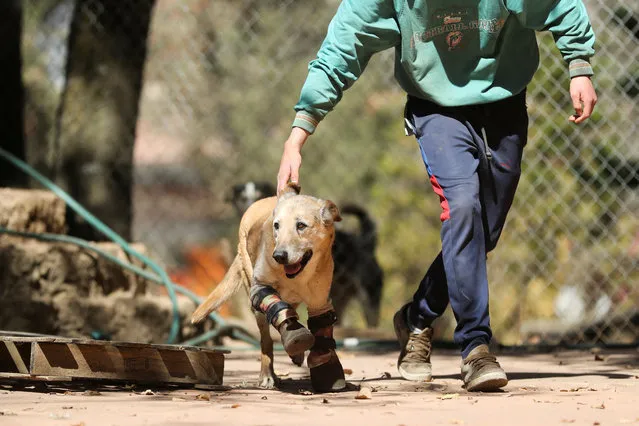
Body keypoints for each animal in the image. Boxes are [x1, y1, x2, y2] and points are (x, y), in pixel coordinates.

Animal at [192, 184, 348, 392]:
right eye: (277, 226)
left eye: (301, 225)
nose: (279, 256)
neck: (298, 277)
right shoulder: (260, 287)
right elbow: (277, 313)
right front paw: (293, 339)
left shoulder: (319, 301)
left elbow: (320, 327)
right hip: (256, 301)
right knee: (267, 338)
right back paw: (268, 374)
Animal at [228, 180, 382, 326]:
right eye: (276, 226)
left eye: (301, 225)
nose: (278, 256)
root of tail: (366, 244)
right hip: (340, 299)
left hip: (368, 301)